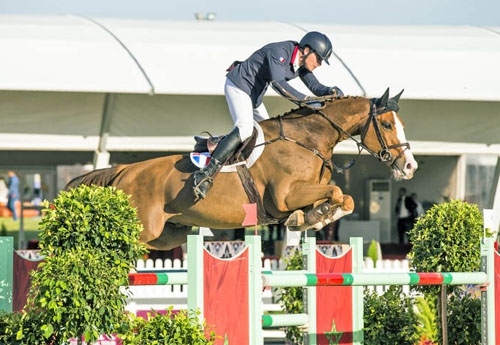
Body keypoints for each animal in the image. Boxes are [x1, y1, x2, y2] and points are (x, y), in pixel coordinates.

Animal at [66, 88, 418, 250]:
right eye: (388, 124)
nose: (410, 165)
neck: (307, 139)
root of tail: (123, 171)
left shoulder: (305, 194)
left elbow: (343, 199)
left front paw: (312, 219)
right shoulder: (284, 195)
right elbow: (336, 192)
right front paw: (313, 218)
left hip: (167, 236)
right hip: (140, 230)